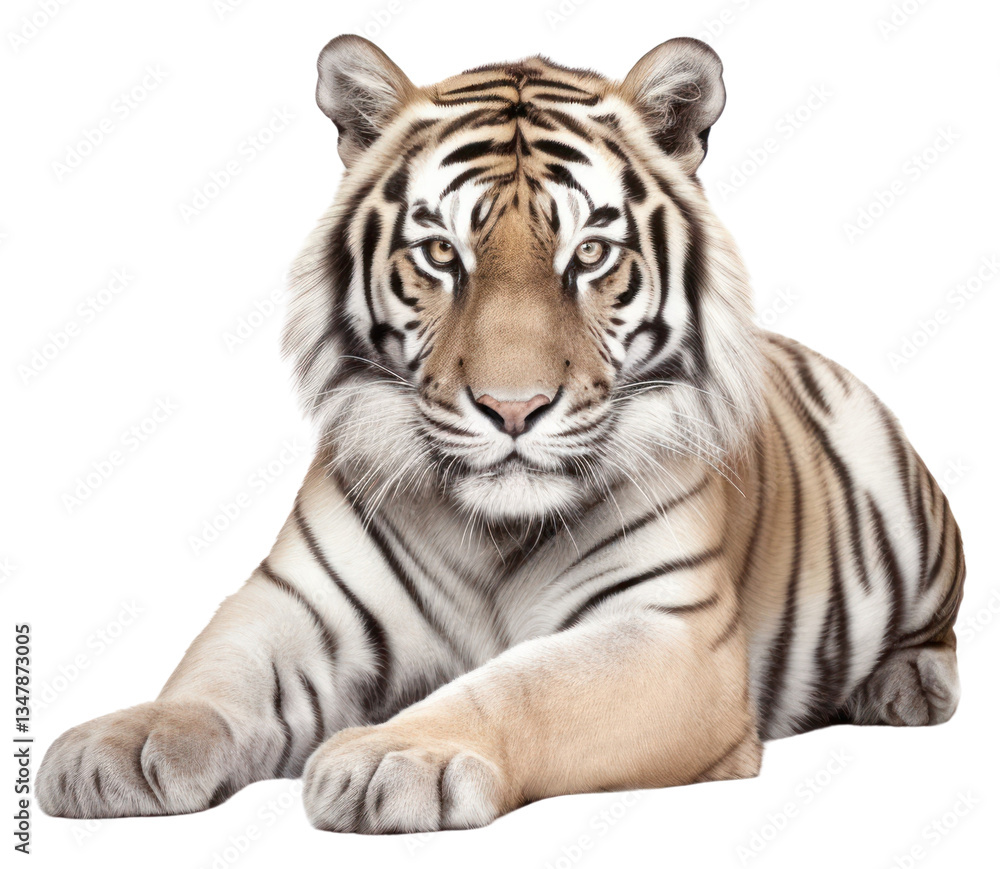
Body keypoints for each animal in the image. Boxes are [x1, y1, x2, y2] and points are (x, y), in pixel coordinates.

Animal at [37, 35, 965, 834]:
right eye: (442, 255)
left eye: (589, 254)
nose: (513, 408)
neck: (494, 529)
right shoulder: (291, 603)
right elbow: (213, 672)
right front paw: (116, 744)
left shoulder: (670, 629)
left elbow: (528, 686)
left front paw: (393, 756)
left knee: (940, 626)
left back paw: (906, 687)